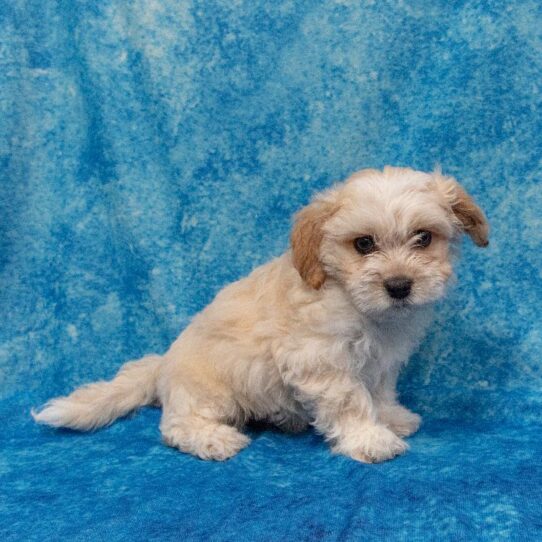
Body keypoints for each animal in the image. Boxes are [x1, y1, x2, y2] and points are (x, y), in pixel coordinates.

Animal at [34, 169, 492, 464]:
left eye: (423, 238)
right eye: (364, 244)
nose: (399, 286)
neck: (350, 297)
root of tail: (163, 365)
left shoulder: (379, 361)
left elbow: (378, 392)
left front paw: (392, 419)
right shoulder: (320, 360)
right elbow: (351, 401)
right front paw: (370, 439)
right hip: (210, 392)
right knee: (177, 426)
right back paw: (213, 439)